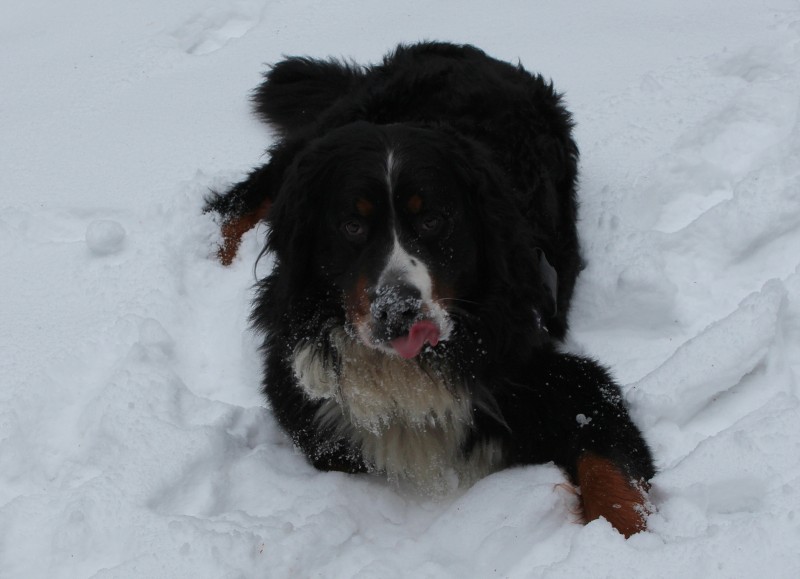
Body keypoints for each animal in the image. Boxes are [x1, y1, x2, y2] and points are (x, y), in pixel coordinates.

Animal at [208, 42, 656, 540]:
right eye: (352, 226)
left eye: (433, 220)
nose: (397, 310)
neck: (410, 371)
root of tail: (455, 49)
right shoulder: (309, 408)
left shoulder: (559, 381)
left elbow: (610, 475)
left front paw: (622, 543)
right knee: (239, 201)